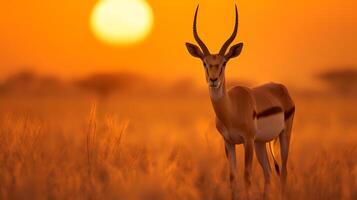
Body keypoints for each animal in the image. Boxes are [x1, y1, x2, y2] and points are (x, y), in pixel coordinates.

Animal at [185, 4, 294, 200]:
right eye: (205, 63)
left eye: (224, 63)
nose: (213, 80)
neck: (232, 110)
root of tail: (281, 88)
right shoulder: (228, 142)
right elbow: (232, 178)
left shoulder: (247, 141)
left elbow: (247, 177)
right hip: (261, 143)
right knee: (268, 174)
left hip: (282, 136)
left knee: (283, 172)